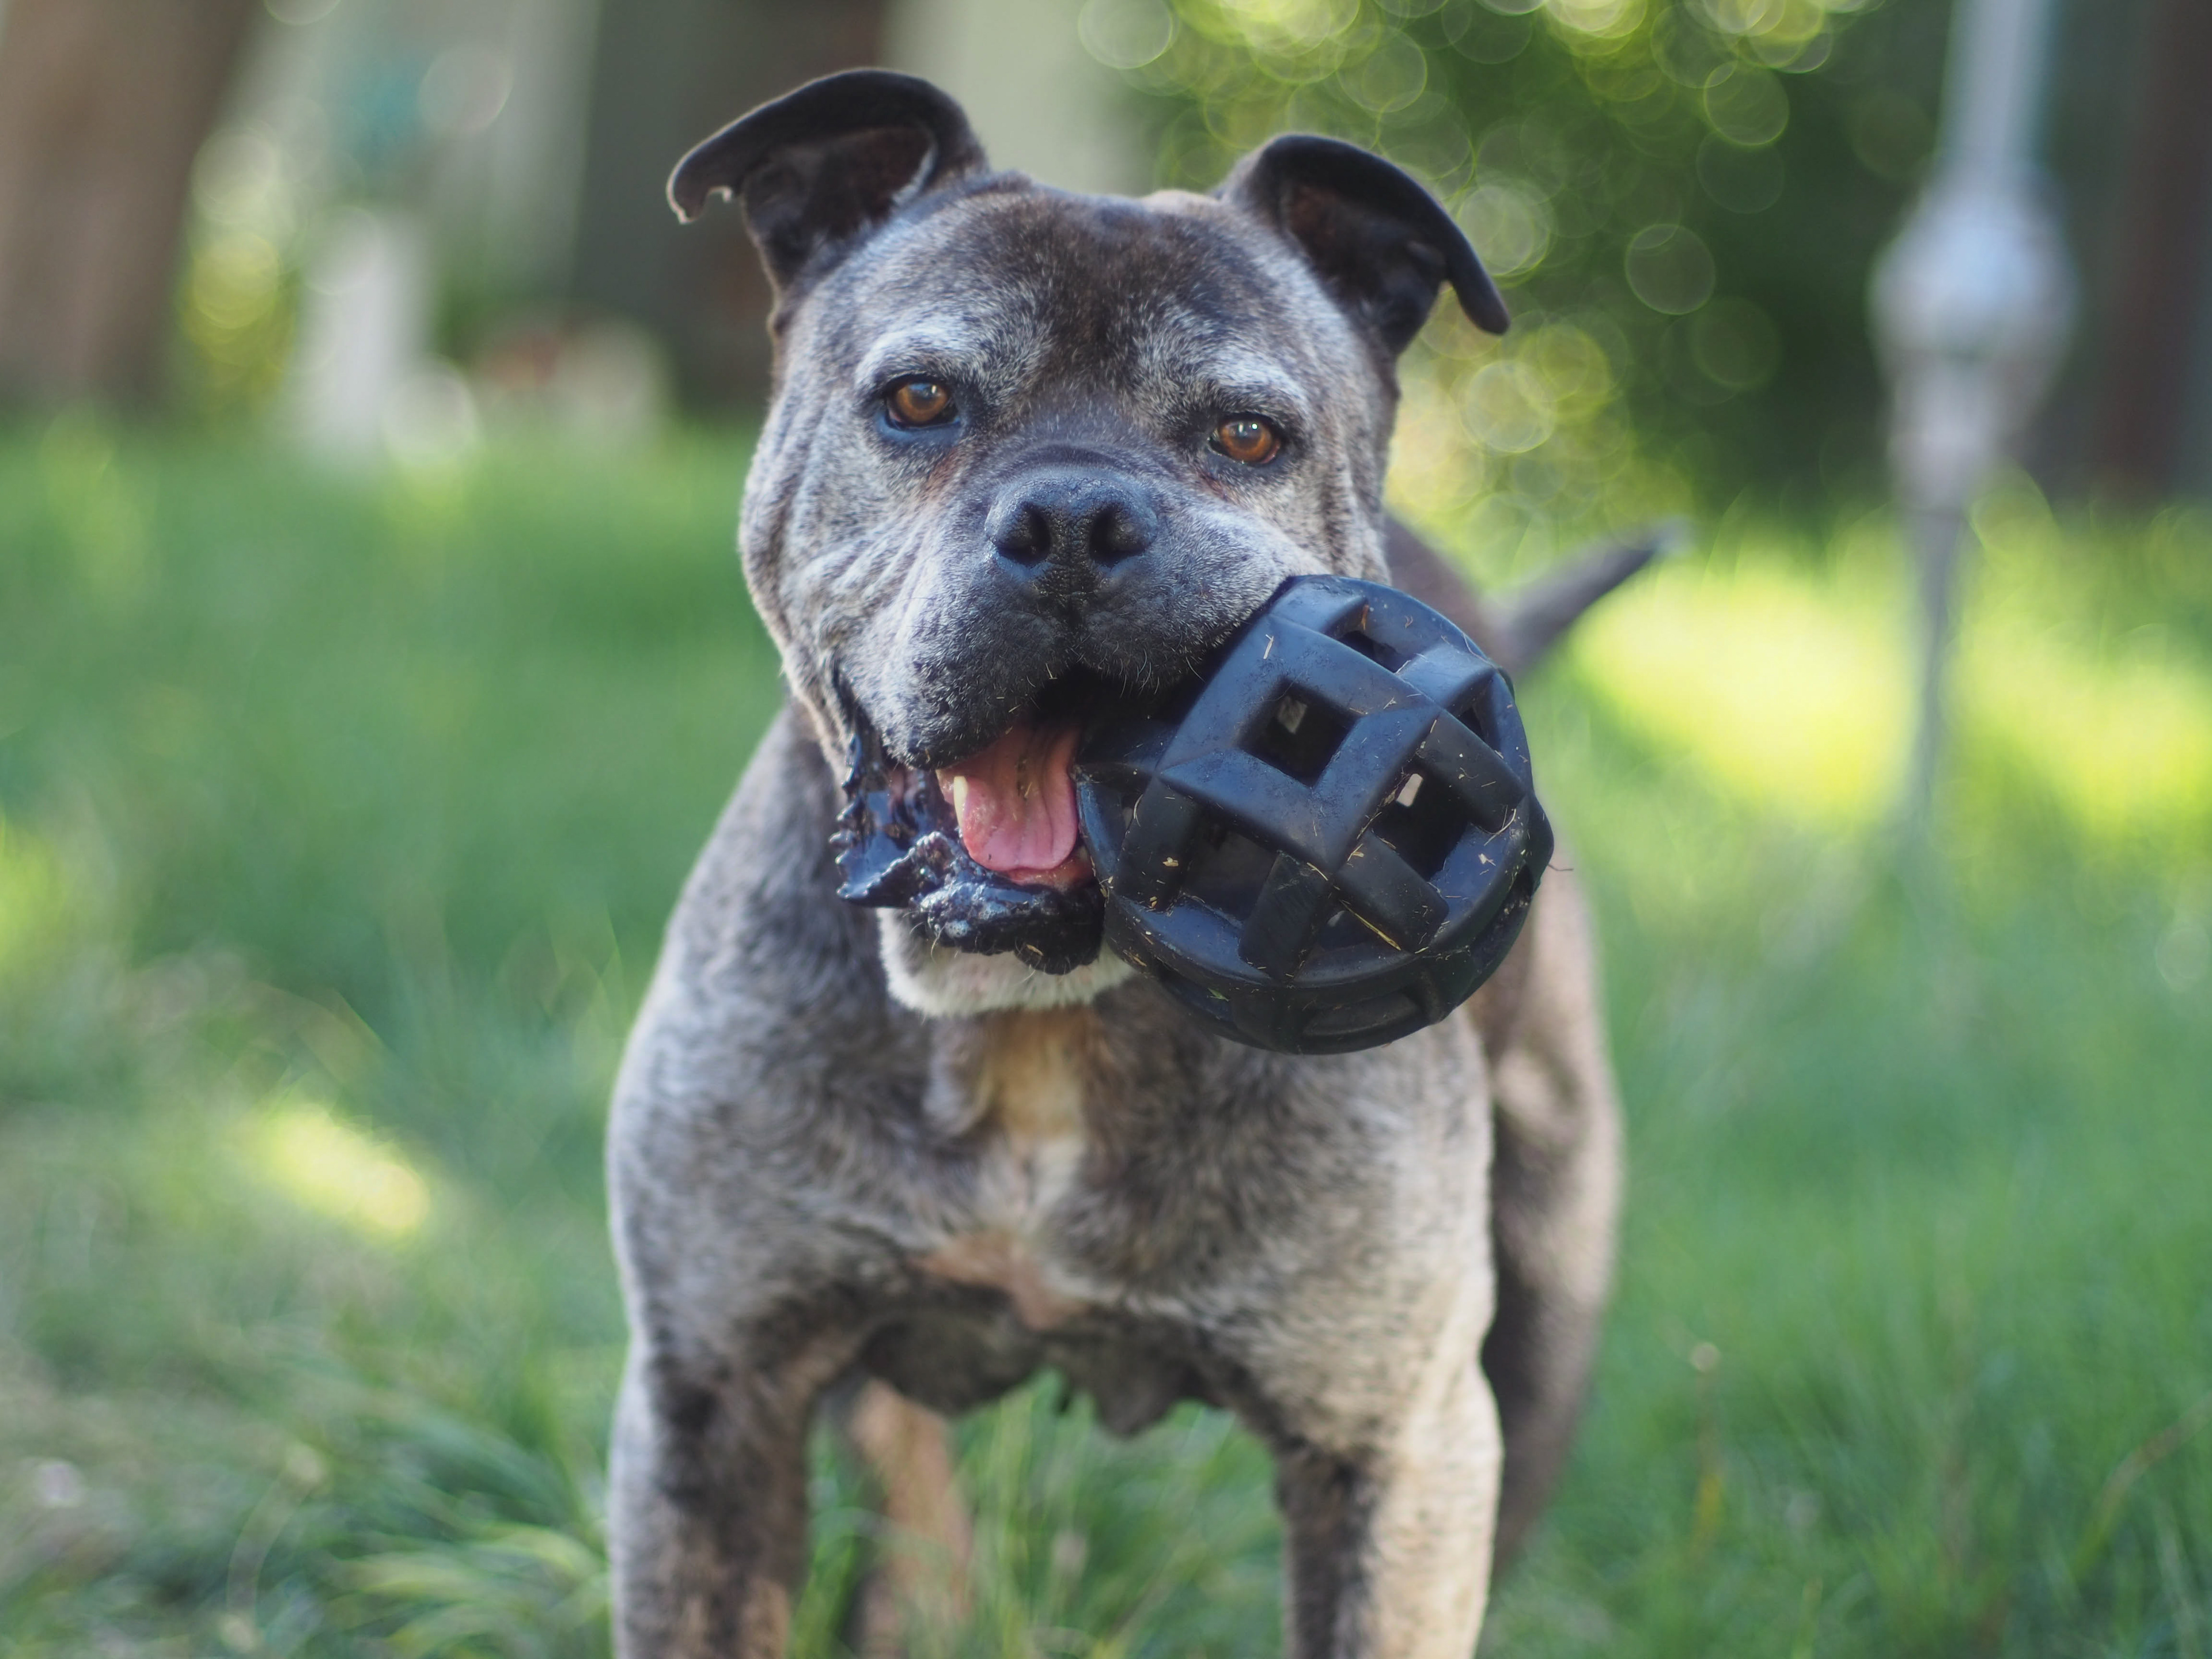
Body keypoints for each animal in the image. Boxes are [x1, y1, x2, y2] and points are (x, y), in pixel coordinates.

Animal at [606, 69, 1629, 1658]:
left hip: (1544, 1311)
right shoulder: (714, 1397)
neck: (1036, 1022)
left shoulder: (1394, 1449)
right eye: (917, 401)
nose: (1074, 518)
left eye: (1247, 436)